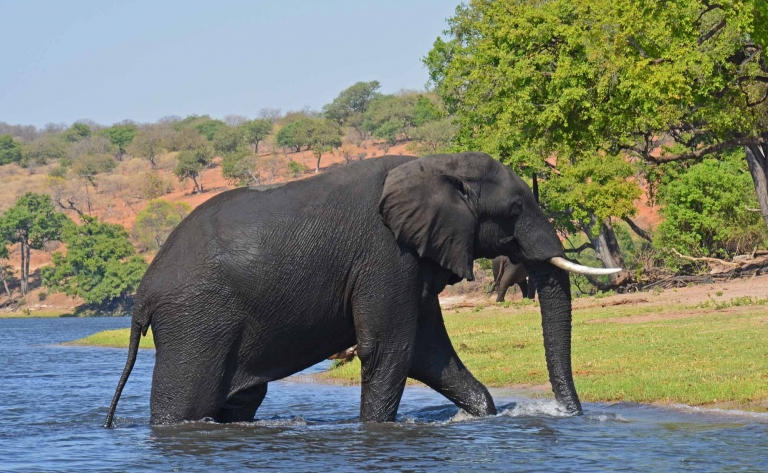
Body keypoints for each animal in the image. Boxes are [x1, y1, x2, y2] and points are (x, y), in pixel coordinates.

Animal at [105, 153, 616, 426]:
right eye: (513, 209)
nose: (570, 415)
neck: (436, 164)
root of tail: (143, 292)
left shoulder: (413, 261)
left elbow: (428, 352)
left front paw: (483, 415)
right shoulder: (386, 255)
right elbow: (390, 349)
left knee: (241, 400)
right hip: (196, 321)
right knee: (185, 403)